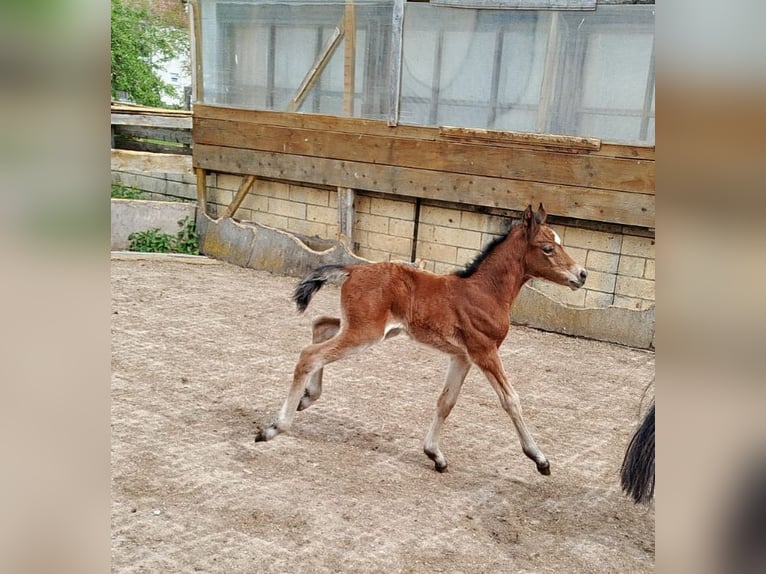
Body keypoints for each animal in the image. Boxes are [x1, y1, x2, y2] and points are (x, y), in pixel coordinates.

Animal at [255, 203, 588, 475]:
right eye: (547, 248)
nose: (582, 274)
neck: (485, 291)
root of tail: (352, 269)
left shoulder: (462, 356)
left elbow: (446, 402)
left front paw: (435, 455)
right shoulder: (484, 350)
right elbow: (511, 400)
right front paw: (540, 459)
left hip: (365, 328)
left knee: (321, 325)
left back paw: (307, 397)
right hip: (365, 333)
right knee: (310, 354)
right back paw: (274, 428)